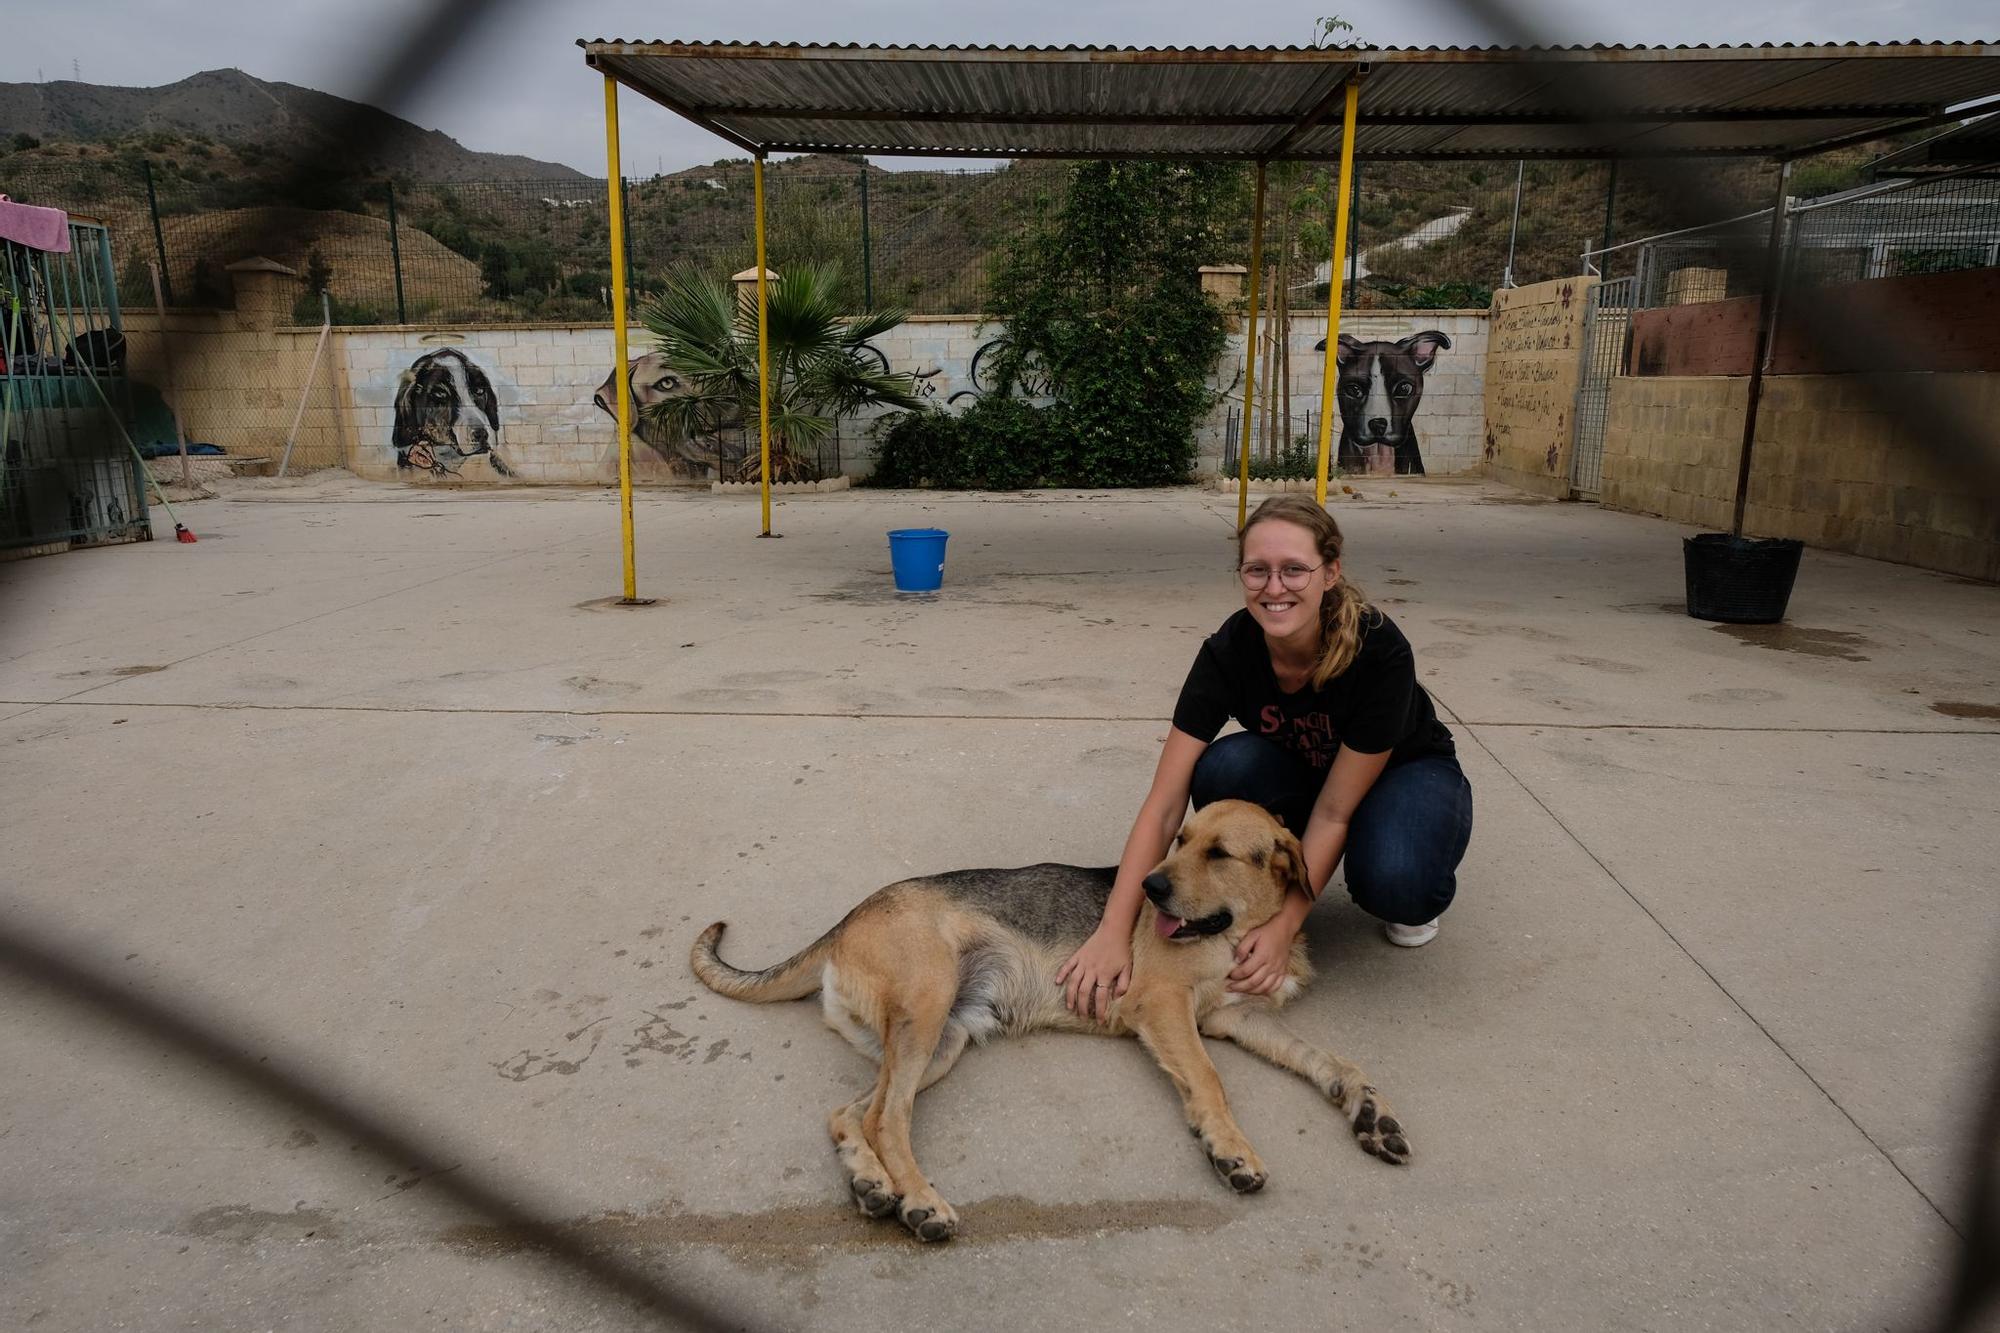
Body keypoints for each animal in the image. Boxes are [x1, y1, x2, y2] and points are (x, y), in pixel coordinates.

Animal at [696, 792, 1416, 1240]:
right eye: (1180, 839)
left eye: (1219, 853)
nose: (1148, 886)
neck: (1238, 929)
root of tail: (847, 917)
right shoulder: (1165, 1008)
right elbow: (1210, 1080)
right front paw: (1230, 1149)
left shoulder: (1238, 1019)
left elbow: (1332, 1061)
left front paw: (1369, 1111)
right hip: (927, 1012)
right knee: (885, 1117)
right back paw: (920, 1201)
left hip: (941, 1040)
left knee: (851, 1111)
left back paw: (872, 1182)